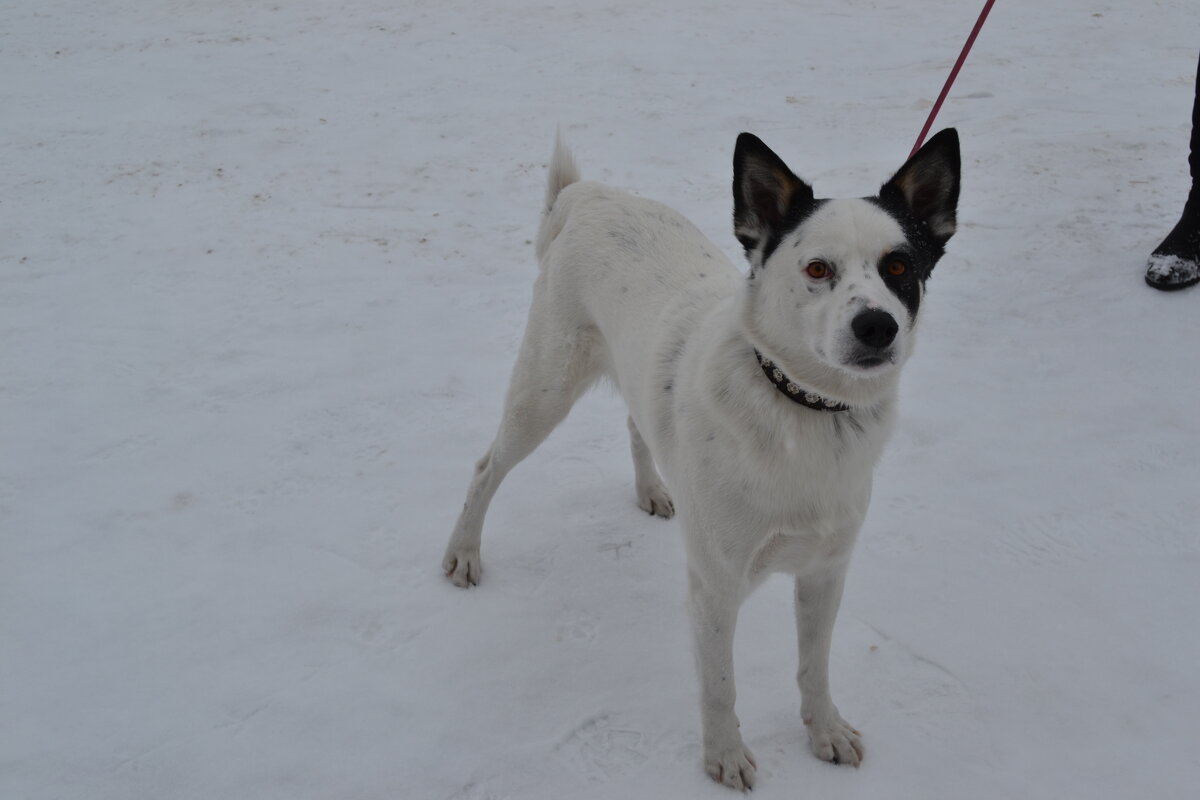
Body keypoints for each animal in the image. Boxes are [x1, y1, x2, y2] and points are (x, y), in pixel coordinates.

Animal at [441, 128, 955, 791]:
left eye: (899, 267)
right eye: (818, 268)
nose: (877, 327)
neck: (804, 405)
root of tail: (589, 195)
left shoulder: (825, 571)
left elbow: (814, 667)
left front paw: (825, 731)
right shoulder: (716, 584)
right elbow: (720, 686)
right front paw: (724, 757)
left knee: (637, 421)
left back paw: (653, 489)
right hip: (543, 392)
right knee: (487, 468)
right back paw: (463, 553)